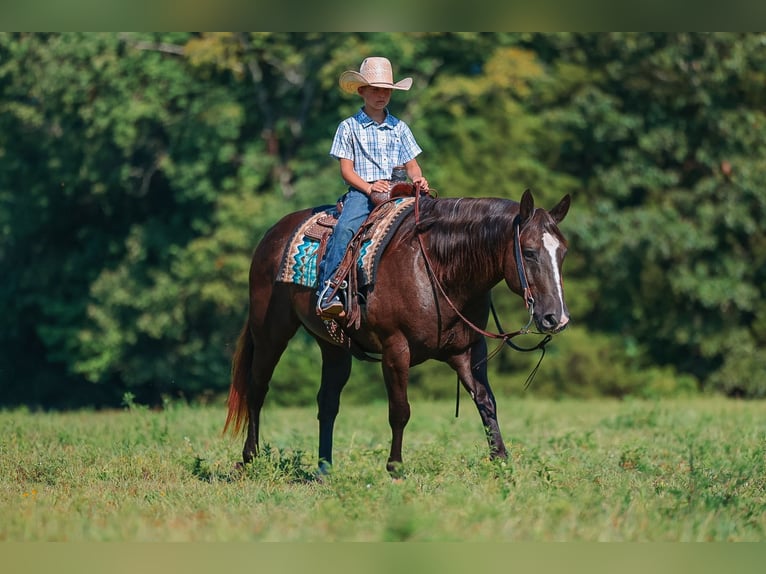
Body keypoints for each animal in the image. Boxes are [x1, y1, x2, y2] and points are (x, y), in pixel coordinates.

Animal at [225, 189, 571, 476]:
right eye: (529, 252)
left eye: (563, 253)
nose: (556, 317)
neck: (438, 270)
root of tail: (273, 234)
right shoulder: (395, 349)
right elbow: (400, 410)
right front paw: (395, 468)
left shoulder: (467, 351)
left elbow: (487, 402)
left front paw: (501, 461)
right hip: (270, 333)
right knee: (257, 389)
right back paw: (249, 459)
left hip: (333, 346)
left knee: (327, 402)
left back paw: (324, 469)